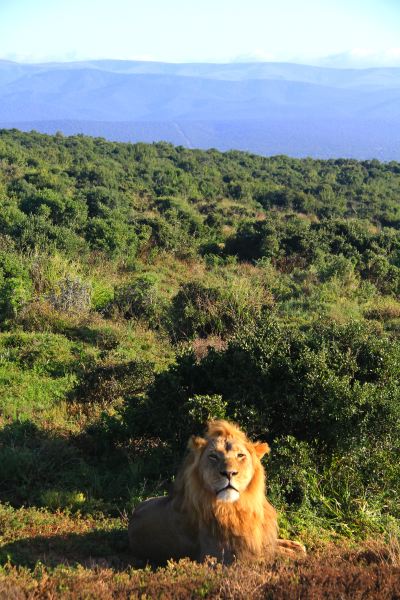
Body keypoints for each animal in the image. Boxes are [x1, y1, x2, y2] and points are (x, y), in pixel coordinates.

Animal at [129, 420, 306, 564]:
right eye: (213, 456)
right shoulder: (228, 556)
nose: (229, 473)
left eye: (240, 455)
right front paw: (295, 553)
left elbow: (276, 544)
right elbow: (275, 553)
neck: (241, 506)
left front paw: (295, 545)